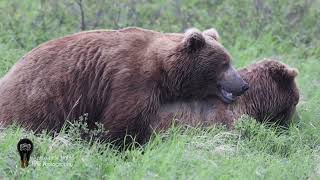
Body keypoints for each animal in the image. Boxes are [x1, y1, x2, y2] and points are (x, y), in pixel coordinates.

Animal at [0, 27, 249, 143]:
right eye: (224, 63)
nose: (243, 85)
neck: (164, 72)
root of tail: (8, 74)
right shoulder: (129, 80)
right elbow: (123, 123)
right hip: (39, 99)